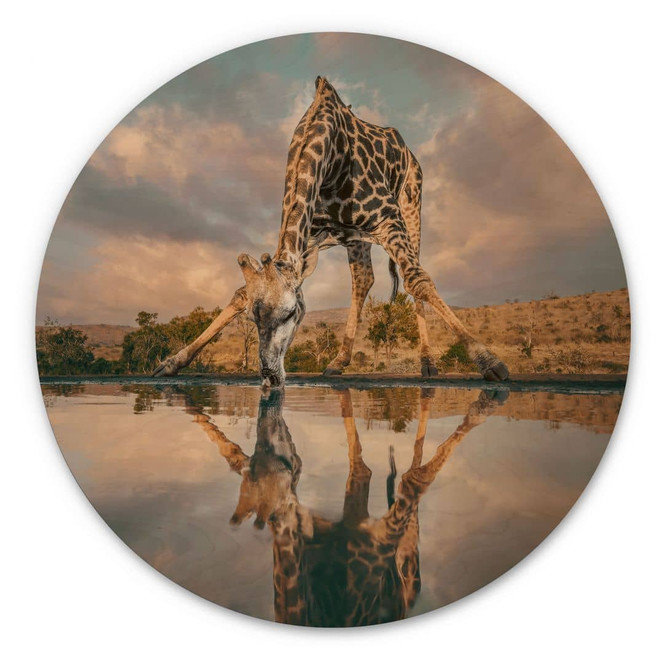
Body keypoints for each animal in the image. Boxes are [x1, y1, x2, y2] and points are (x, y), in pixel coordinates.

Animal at [153, 76, 509, 385]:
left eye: (291, 314)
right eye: (254, 320)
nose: (269, 376)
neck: (330, 156)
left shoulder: (388, 216)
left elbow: (417, 280)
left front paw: (490, 362)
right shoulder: (309, 235)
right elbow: (241, 293)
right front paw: (171, 362)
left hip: (411, 206)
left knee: (411, 275)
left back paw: (427, 363)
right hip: (355, 237)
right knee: (363, 280)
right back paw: (338, 361)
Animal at [187, 386, 505, 626]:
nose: (291, 455)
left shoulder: (380, 537)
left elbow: (413, 480)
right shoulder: (355, 519)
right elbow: (367, 467)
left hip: (407, 559)